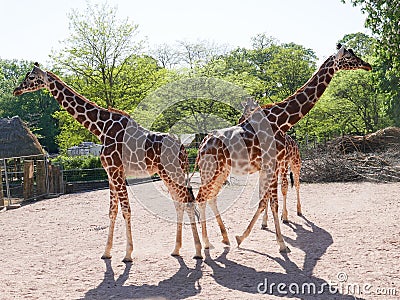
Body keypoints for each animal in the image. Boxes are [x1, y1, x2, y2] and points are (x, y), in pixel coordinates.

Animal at [13, 62, 203, 260]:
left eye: (31, 77)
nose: (16, 90)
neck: (100, 128)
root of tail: (182, 147)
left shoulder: (116, 170)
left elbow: (126, 210)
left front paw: (127, 254)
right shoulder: (110, 173)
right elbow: (112, 211)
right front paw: (106, 252)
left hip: (173, 171)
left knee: (187, 201)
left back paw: (199, 251)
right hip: (167, 173)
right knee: (179, 203)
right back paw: (176, 249)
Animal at [239, 98, 302, 227]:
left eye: (252, 109)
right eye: (243, 108)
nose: (241, 120)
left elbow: (282, 188)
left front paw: (284, 217)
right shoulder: (263, 168)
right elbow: (266, 192)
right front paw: (264, 221)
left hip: (294, 164)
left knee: (295, 184)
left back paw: (297, 211)